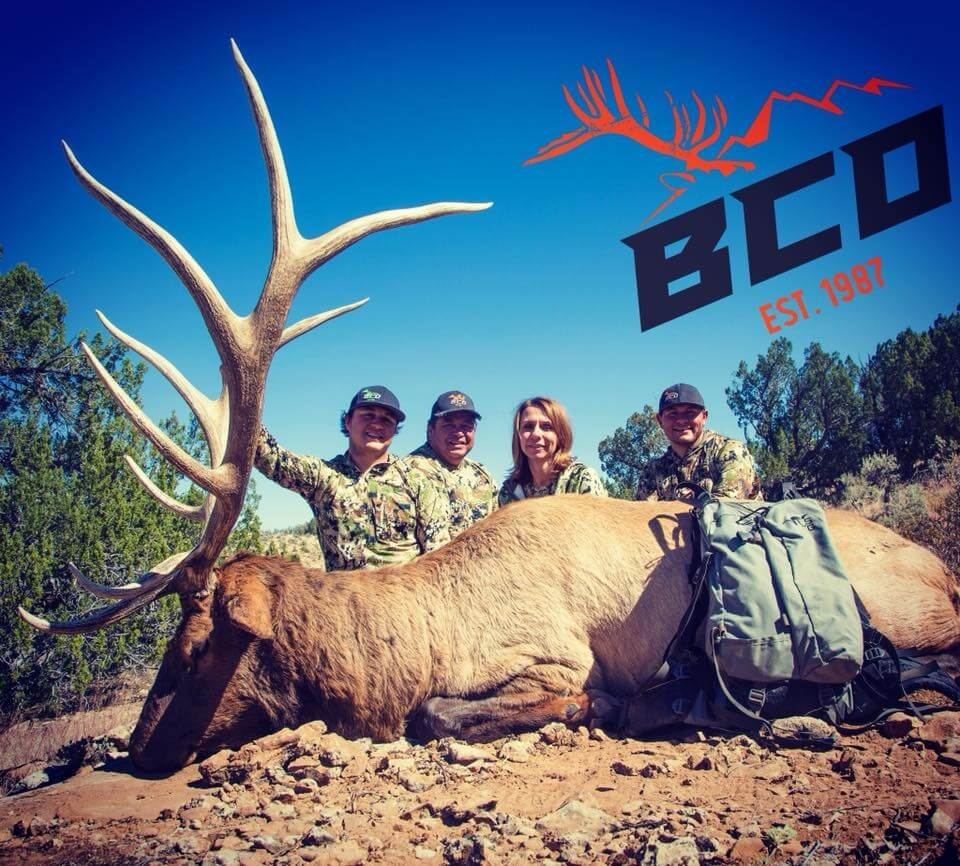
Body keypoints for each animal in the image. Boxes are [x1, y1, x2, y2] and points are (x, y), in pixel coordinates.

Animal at [19, 44, 960, 774]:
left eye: (192, 648)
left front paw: (607, 710)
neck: (416, 636)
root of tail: (942, 568)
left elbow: (439, 714)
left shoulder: (553, 658)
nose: (138, 749)